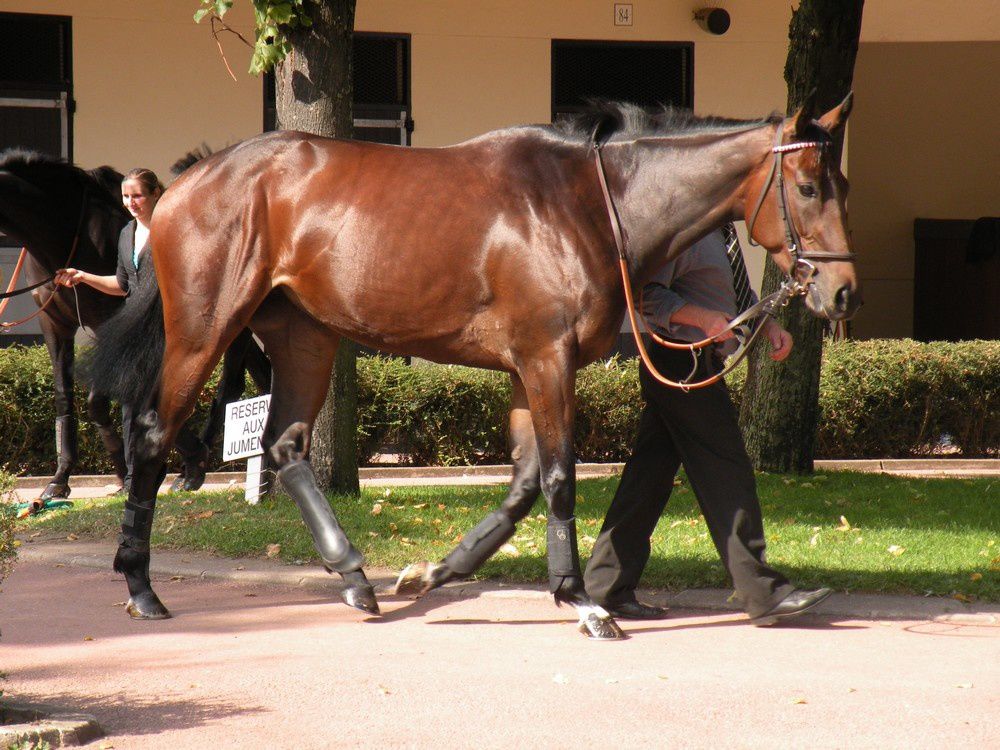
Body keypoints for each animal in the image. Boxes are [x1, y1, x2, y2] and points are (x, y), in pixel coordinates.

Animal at [0, 151, 272, 506]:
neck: (67, 232)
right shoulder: (55, 324)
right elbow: (65, 396)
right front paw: (62, 480)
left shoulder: (111, 322)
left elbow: (104, 397)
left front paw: (134, 468)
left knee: (231, 385)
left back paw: (196, 468)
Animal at [90, 97, 864, 640]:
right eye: (807, 186)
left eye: (842, 182)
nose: (842, 292)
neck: (589, 203)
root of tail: (188, 183)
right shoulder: (547, 359)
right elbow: (557, 479)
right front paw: (582, 602)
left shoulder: (527, 368)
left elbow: (522, 486)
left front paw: (432, 572)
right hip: (204, 330)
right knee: (154, 437)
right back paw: (140, 587)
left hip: (305, 335)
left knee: (284, 443)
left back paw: (355, 576)